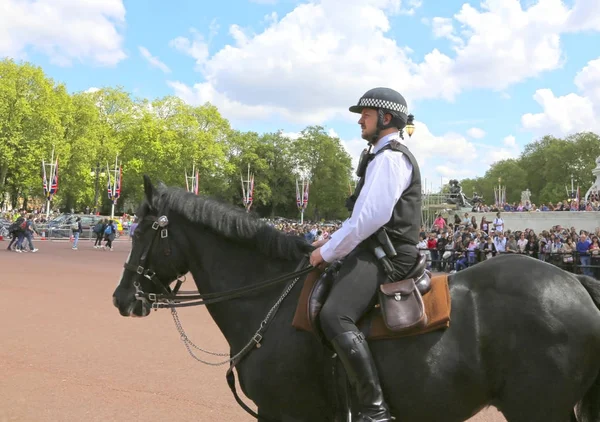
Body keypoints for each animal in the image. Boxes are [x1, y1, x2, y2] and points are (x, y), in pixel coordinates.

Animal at [112, 176, 600, 422]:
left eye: (144, 230)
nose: (122, 297)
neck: (269, 299)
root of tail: (574, 280)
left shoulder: (283, 411)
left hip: (537, 408)